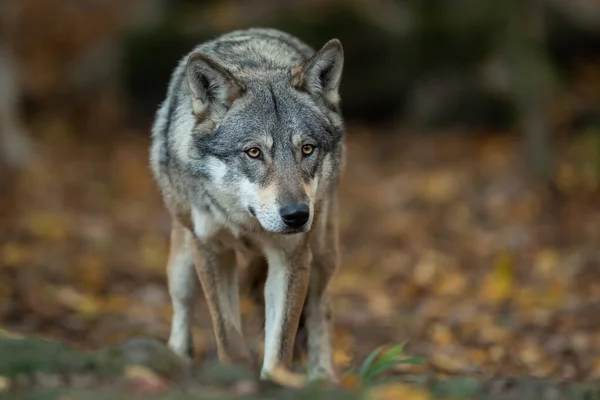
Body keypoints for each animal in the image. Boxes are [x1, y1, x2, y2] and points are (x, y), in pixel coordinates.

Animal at [150, 26, 344, 382]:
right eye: (254, 152)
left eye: (307, 149)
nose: (297, 216)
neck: (244, 222)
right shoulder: (211, 251)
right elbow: (228, 337)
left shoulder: (293, 258)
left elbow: (280, 348)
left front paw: (275, 383)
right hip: (183, 258)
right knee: (182, 303)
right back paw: (177, 357)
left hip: (323, 253)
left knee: (321, 308)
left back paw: (323, 376)